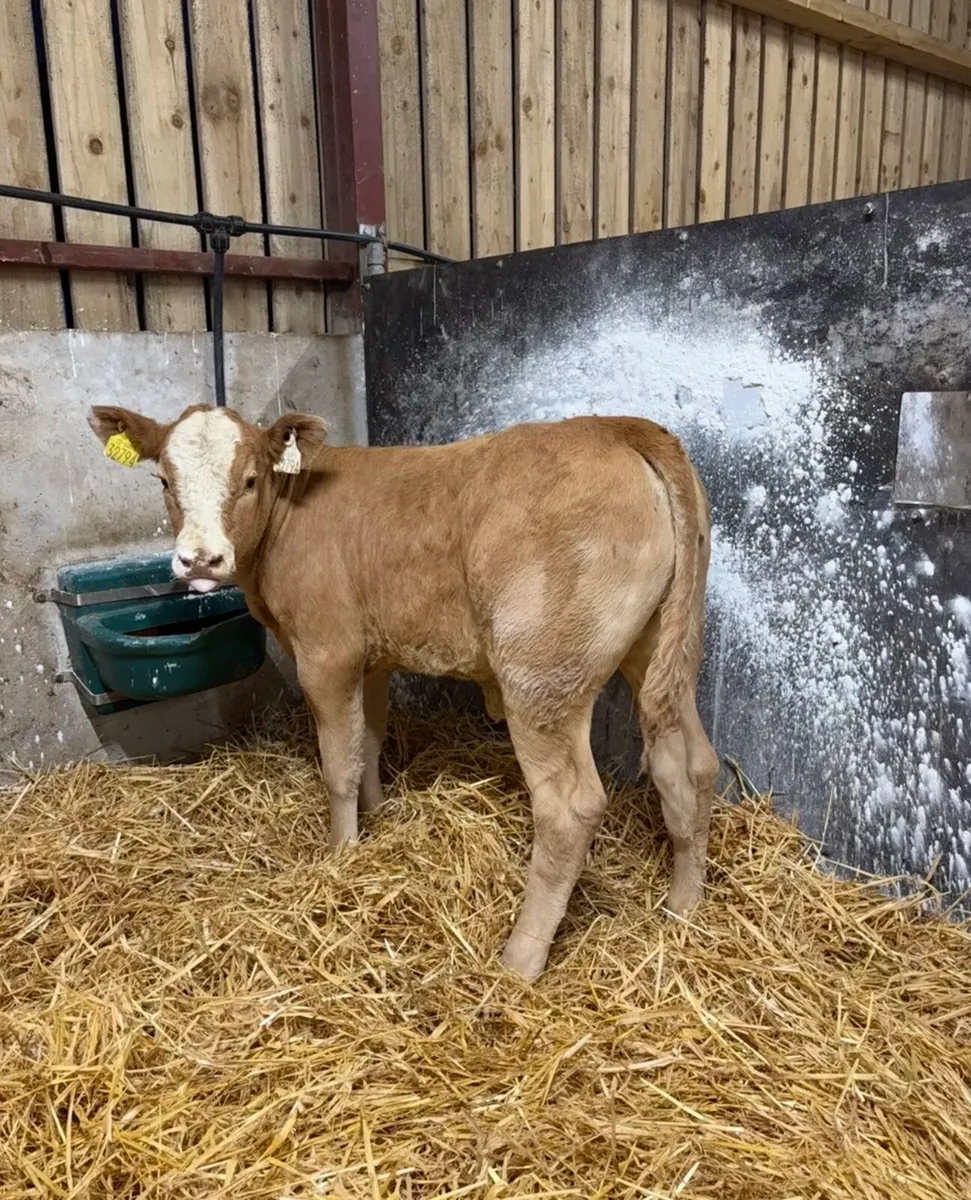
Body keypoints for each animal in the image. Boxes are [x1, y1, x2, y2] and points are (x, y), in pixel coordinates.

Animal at [88, 404, 719, 981]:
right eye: (164, 482)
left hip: (542, 675)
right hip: (660, 649)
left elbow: (337, 763)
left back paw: (519, 961)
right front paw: (377, 816)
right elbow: (367, 738)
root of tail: (617, 426)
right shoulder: (371, 656)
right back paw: (682, 908)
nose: (200, 559)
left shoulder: (327, 651)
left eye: (248, 480)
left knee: (570, 809)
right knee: (688, 763)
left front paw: (341, 853)